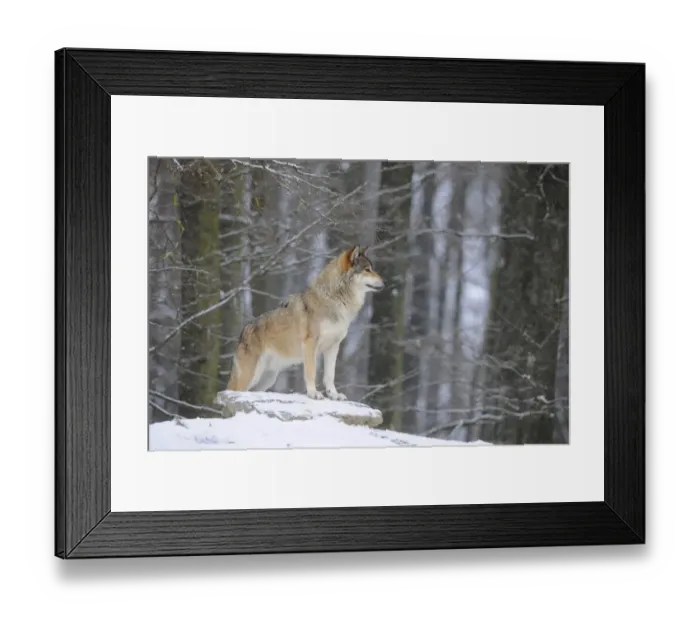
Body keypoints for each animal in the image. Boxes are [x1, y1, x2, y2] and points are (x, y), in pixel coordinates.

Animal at [226, 245, 384, 400]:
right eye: (367, 269)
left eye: (372, 268)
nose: (385, 282)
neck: (334, 300)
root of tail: (242, 333)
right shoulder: (310, 344)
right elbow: (311, 372)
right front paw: (313, 393)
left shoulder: (333, 346)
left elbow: (330, 375)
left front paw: (333, 394)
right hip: (250, 376)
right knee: (230, 391)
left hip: (268, 379)